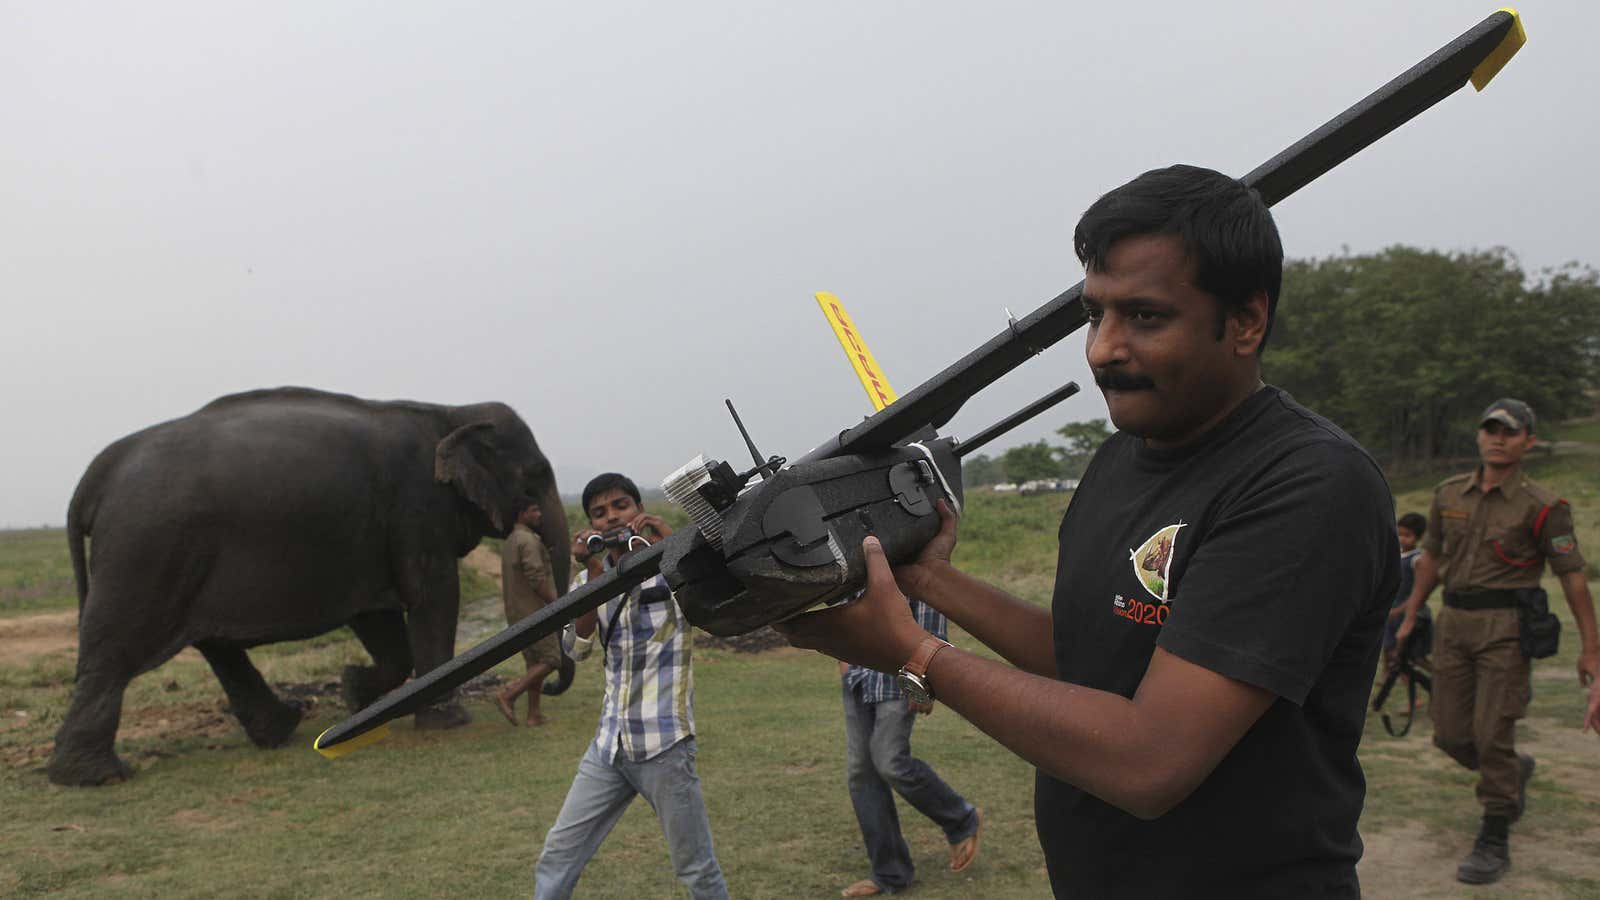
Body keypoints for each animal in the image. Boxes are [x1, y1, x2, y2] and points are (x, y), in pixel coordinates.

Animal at [46, 385, 572, 784]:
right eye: (536, 474)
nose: (551, 688)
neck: (450, 411)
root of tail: (94, 477)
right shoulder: (417, 506)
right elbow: (433, 597)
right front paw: (446, 722)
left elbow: (379, 619)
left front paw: (355, 694)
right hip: (147, 549)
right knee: (115, 653)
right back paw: (97, 776)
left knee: (213, 644)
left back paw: (283, 727)